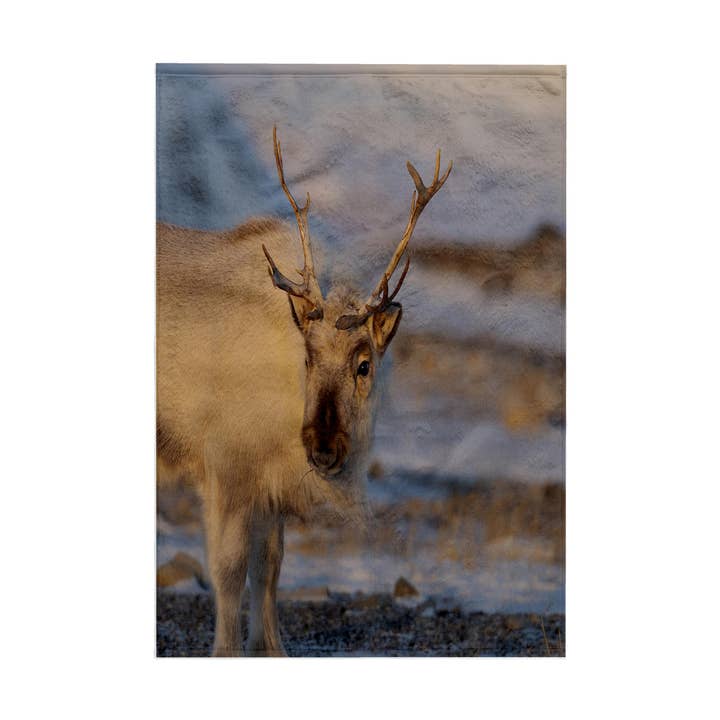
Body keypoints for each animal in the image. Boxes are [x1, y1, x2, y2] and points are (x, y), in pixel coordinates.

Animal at [156, 127, 452, 656]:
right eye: (309, 358)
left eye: (363, 364)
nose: (324, 447)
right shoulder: (226, 470)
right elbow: (228, 571)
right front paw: (227, 651)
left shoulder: (270, 486)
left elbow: (270, 567)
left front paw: (271, 648)